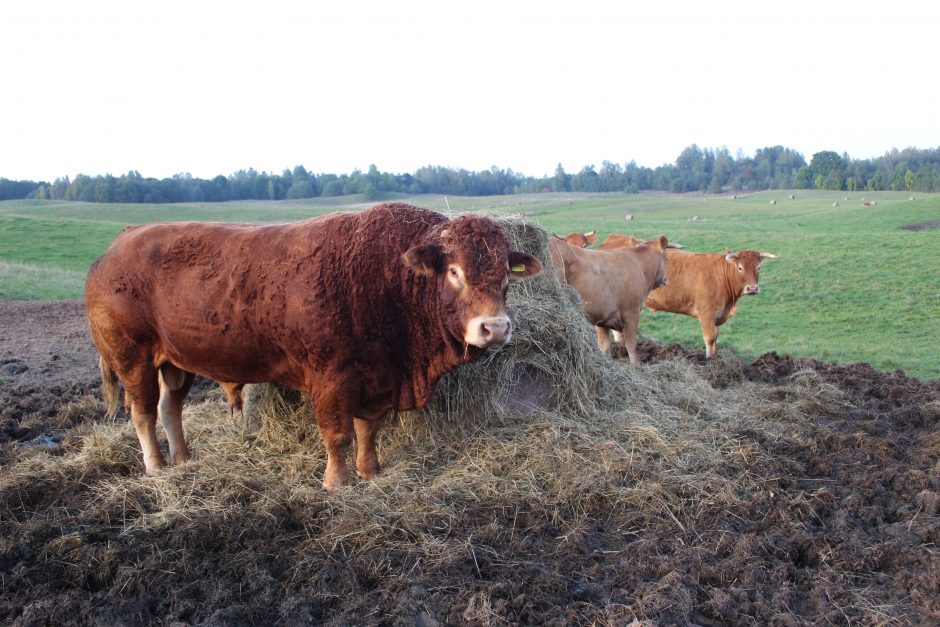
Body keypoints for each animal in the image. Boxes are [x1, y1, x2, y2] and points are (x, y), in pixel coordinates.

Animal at [88, 205, 544, 490]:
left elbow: (367, 430)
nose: (494, 327)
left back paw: (182, 458)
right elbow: (337, 434)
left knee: (169, 408)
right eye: (454, 271)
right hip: (133, 359)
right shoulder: (332, 379)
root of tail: (117, 246)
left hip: (175, 363)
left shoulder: (376, 377)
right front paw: (337, 482)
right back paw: (156, 466)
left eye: (506, 272)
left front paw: (369, 471)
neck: (385, 278)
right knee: (143, 412)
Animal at [548, 236, 672, 364]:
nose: (665, 280)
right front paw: (635, 365)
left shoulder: (602, 319)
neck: (638, 265)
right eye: (666, 258)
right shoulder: (631, 313)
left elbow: (604, 345)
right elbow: (631, 345)